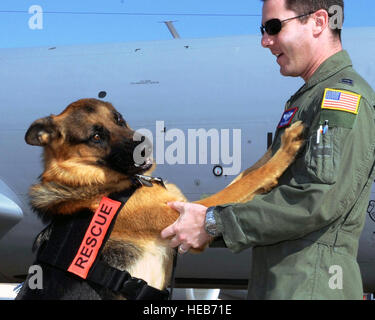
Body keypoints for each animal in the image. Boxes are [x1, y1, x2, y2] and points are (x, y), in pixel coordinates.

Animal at [16, 98, 306, 300]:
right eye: (96, 136)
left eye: (118, 119)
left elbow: (247, 172)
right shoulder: (193, 214)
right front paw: (285, 148)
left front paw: (275, 144)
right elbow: (249, 179)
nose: (145, 145)